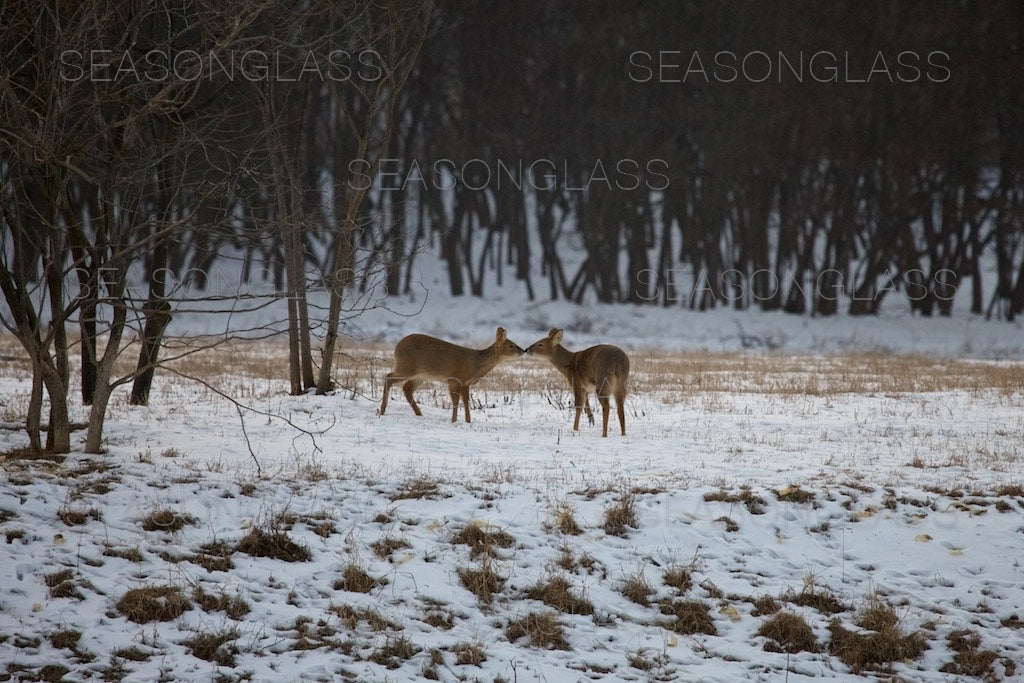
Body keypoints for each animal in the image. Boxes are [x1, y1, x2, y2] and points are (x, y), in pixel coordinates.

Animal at [380, 327, 524, 421]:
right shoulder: (454, 379)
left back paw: (419, 414)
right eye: (511, 345)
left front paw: (468, 421)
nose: (523, 351)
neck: (476, 364)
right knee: (388, 377)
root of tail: (397, 347)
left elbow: (465, 401)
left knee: (406, 388)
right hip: (406, 367)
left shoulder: (466, 383)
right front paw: (454, 421)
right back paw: (382, 410)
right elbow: (455, 401)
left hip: (420, 374)